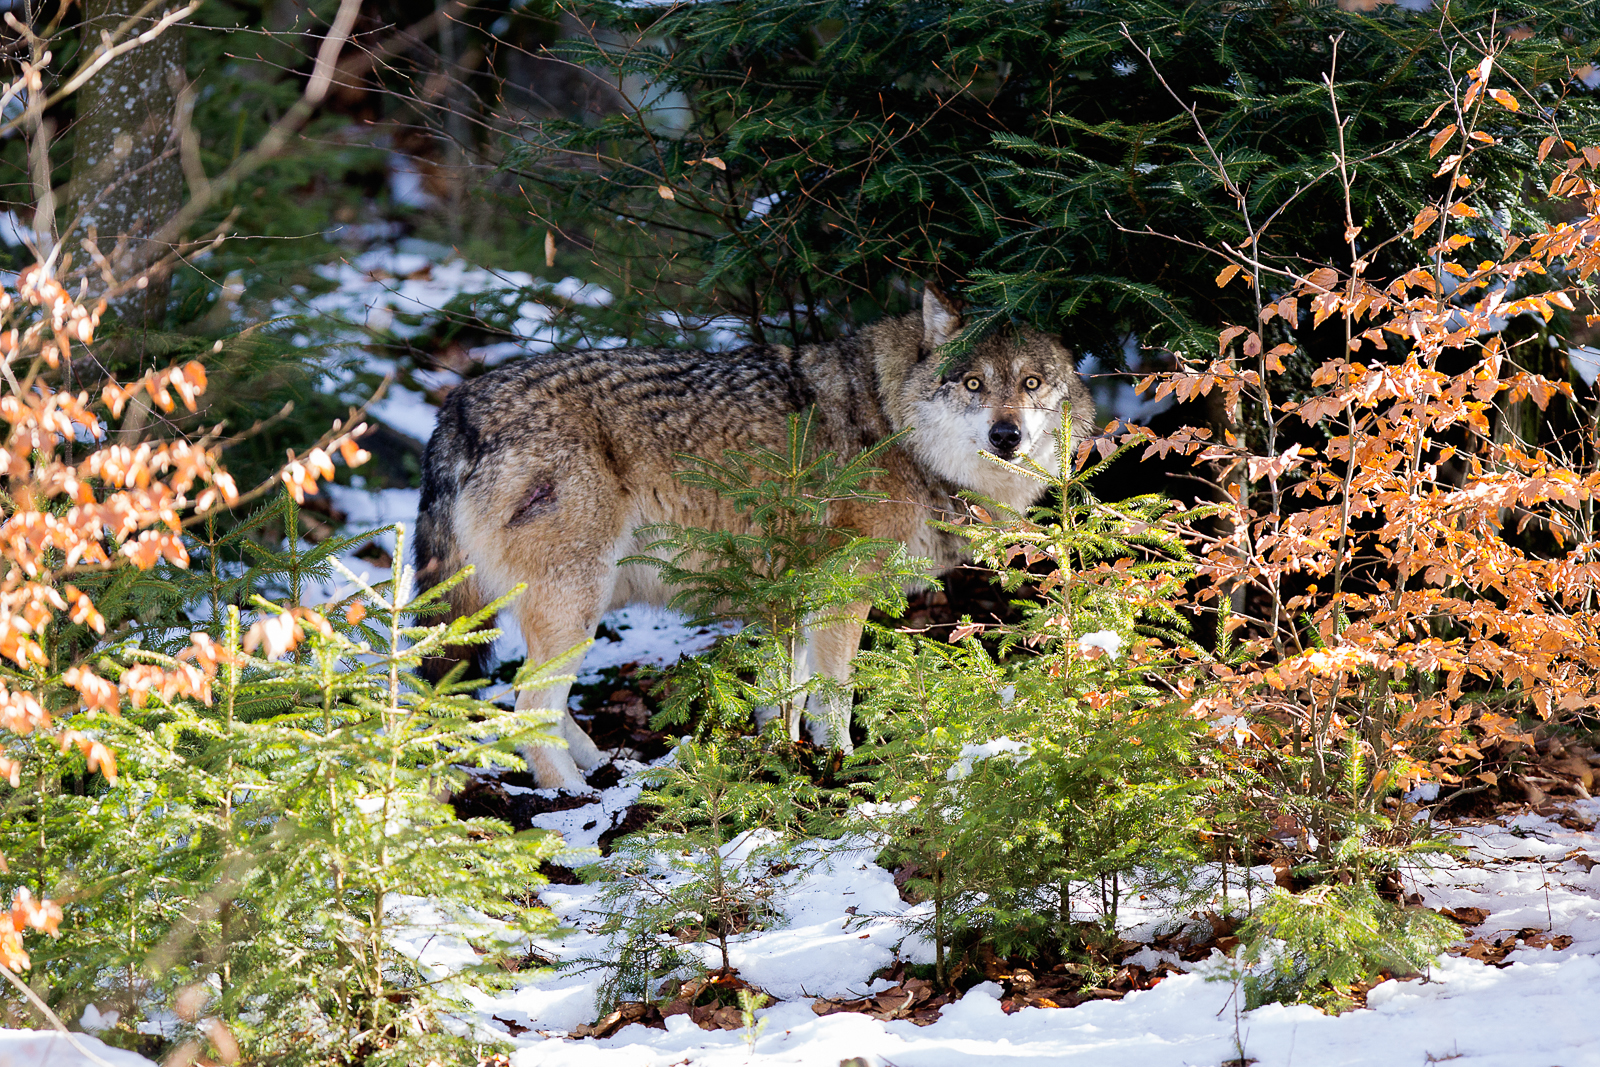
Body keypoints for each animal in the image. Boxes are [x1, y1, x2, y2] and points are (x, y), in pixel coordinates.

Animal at [413, 287, 1094, 789]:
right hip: (577, 602)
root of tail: (458, 408)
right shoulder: (839, 595)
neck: (891, 423)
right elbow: (834, 697)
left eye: (1031, 384)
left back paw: (604, 767)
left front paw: (782, 761)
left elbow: (784, 696)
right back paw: (572, 807)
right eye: (973, 384)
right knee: (524, 711)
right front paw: (843, 768)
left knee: (544, 710)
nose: (1006, 435)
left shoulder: (788, 598)